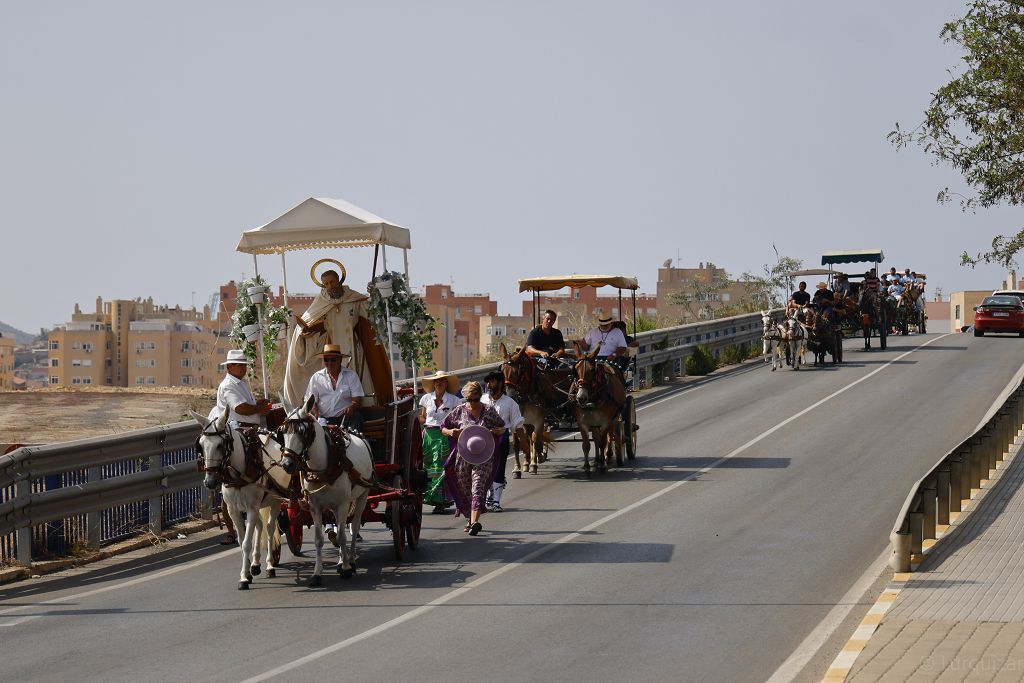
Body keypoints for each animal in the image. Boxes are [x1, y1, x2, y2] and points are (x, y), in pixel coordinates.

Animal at [190, 409, 288, 589]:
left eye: (220, 445)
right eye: (200, 445)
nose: (210, 481)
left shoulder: (251, 508)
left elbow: (247, 542)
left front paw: (243, 578)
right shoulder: (234, 510)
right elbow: (242, 542)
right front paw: (247, 571)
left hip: (275, 501)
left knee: (270, 528)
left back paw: (270, 565)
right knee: (260, 526)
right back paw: (256, 563)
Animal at [278, 397, 374, 589]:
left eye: (302, 432)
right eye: (282, 432)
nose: (287, 464)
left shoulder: (343, 504)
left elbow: (343, 536)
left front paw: (346, 569)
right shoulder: (315, 507)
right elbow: (319, 539)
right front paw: (317, 574)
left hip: (362, 495)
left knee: (354, 525)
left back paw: (350, 560)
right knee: (338, 527)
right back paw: (341, 560)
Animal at [573, 339, 626, 475]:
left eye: (592, 370)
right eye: (575, 369)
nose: (581, 398)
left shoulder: (606, 421)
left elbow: (603, 442)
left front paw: (602, 464)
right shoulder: (582, 422)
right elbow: (586, 444)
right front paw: (587, 467)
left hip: (614, 416)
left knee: (611, 434)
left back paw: (608, 456)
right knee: (596, 437)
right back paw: (597, 460)